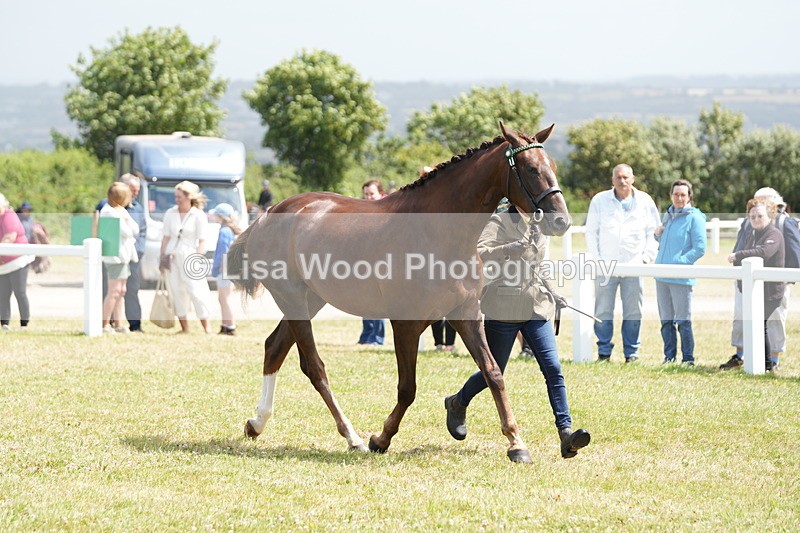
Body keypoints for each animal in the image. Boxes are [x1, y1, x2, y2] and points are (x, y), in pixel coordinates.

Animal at [227, 122, 570, 462]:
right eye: (530, 169)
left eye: (553, 166)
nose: (562, 221)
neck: (437, 233)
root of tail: (267, 215)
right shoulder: (406, 324)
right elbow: (408, 388)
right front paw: (381, 438)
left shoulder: (466, 314)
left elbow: (493, 373)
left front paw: (516, 442)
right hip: (293, 299)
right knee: (313, 366)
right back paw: (352, 437)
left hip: (311, 300)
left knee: (274, 348)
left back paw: (256, 423)